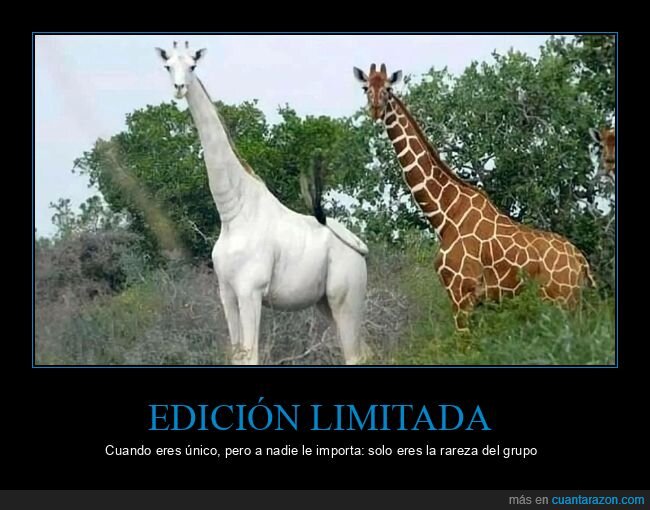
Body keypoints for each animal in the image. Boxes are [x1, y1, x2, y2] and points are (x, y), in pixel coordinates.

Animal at [156, 42, 369, 365]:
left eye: (192, 66)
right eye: (168, 66)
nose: (179, 88)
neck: (233, 213)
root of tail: (361, 249)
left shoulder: (250, 290)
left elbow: (252, 356)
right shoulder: (227, 293)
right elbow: (237, 356)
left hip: (345, 299)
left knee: (355, 355)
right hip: (324, 303)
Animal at [354, 63, 596, 331]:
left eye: (388, 89)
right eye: (366, 88)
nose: (375, 108)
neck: (445, 214)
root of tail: (582, 263)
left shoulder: (461, 293)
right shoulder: (477, 301)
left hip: (563, 302)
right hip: (571, 304)